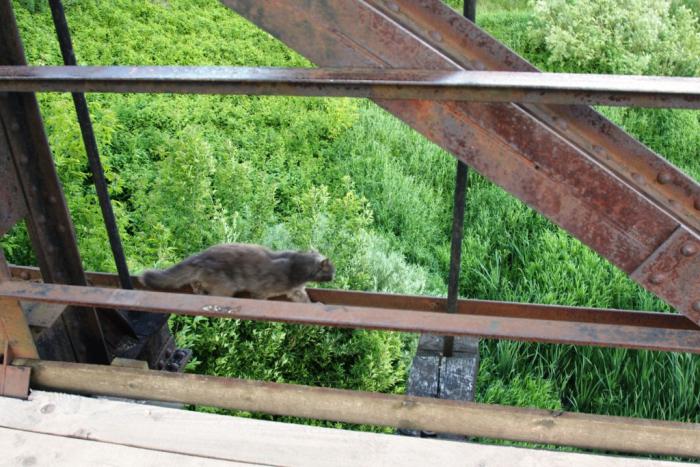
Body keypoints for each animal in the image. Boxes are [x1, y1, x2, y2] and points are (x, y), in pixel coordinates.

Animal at [139, 243, 335, 303]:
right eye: (331, 271)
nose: (334, 277)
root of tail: (201, 256)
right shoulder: (262, 291)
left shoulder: (296, 291)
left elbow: (304, 299)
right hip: (225, 288)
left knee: (194, 281)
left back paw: (198, 290)